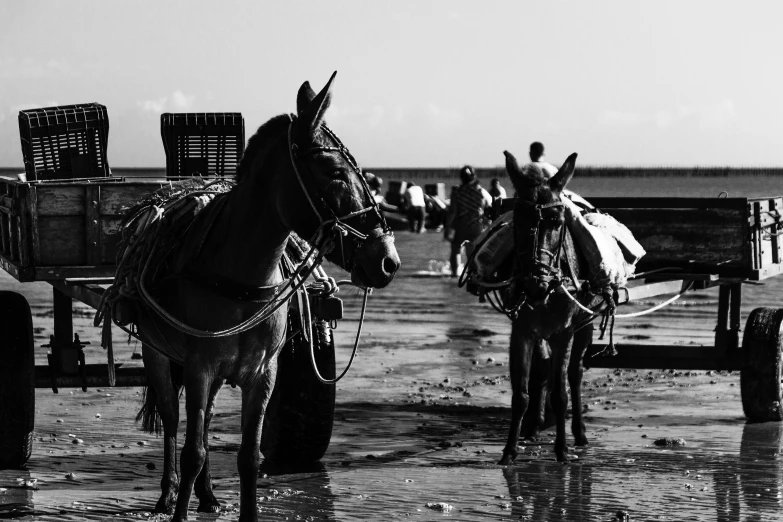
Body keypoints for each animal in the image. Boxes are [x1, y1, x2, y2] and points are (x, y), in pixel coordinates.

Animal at [136, 74, 402, 520]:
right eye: (335, 173)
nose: (388, 260)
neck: (242, 280)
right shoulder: (198, 367)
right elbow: (192, 451)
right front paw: (179, 510)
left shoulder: (262, 374)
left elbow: (248, 457)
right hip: (159, 355)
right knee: (174, 422)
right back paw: (167, 495)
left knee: (204, 424)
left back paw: (207, 495)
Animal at [500, 150, 604, 464]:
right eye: (518, 220)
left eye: (558, 221)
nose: (536, 284)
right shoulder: (521, 331)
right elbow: (521, 393)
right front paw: (509, 451)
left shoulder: (564, 332)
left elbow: (561, 393)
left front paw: (562, 450)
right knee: (544, 369)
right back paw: (534, 428)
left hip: (585, 325)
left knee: (575, 374)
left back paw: (579, 434)